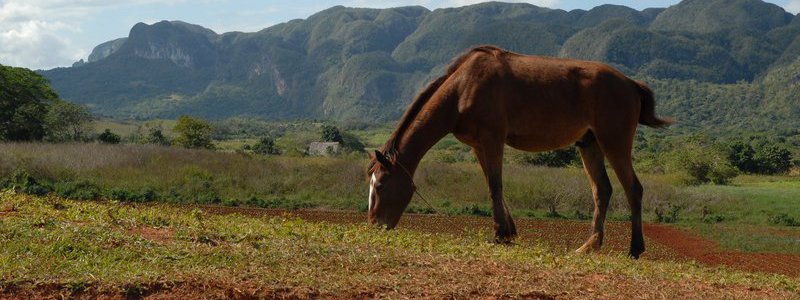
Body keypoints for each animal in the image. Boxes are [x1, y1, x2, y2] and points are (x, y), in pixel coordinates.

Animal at [368, 44, 668, 258]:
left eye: (380, 185)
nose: (374, 226)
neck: (463, 87)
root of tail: (630, 83)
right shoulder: (478, 145)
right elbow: (494, 187)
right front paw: (508, 232)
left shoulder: (492, 140)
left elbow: (495, 186)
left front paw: (499, 234)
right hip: (590, 144)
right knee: (602, 190)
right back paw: (589, 245)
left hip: (614, 143)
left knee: (633, 190)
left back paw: (635, 249)